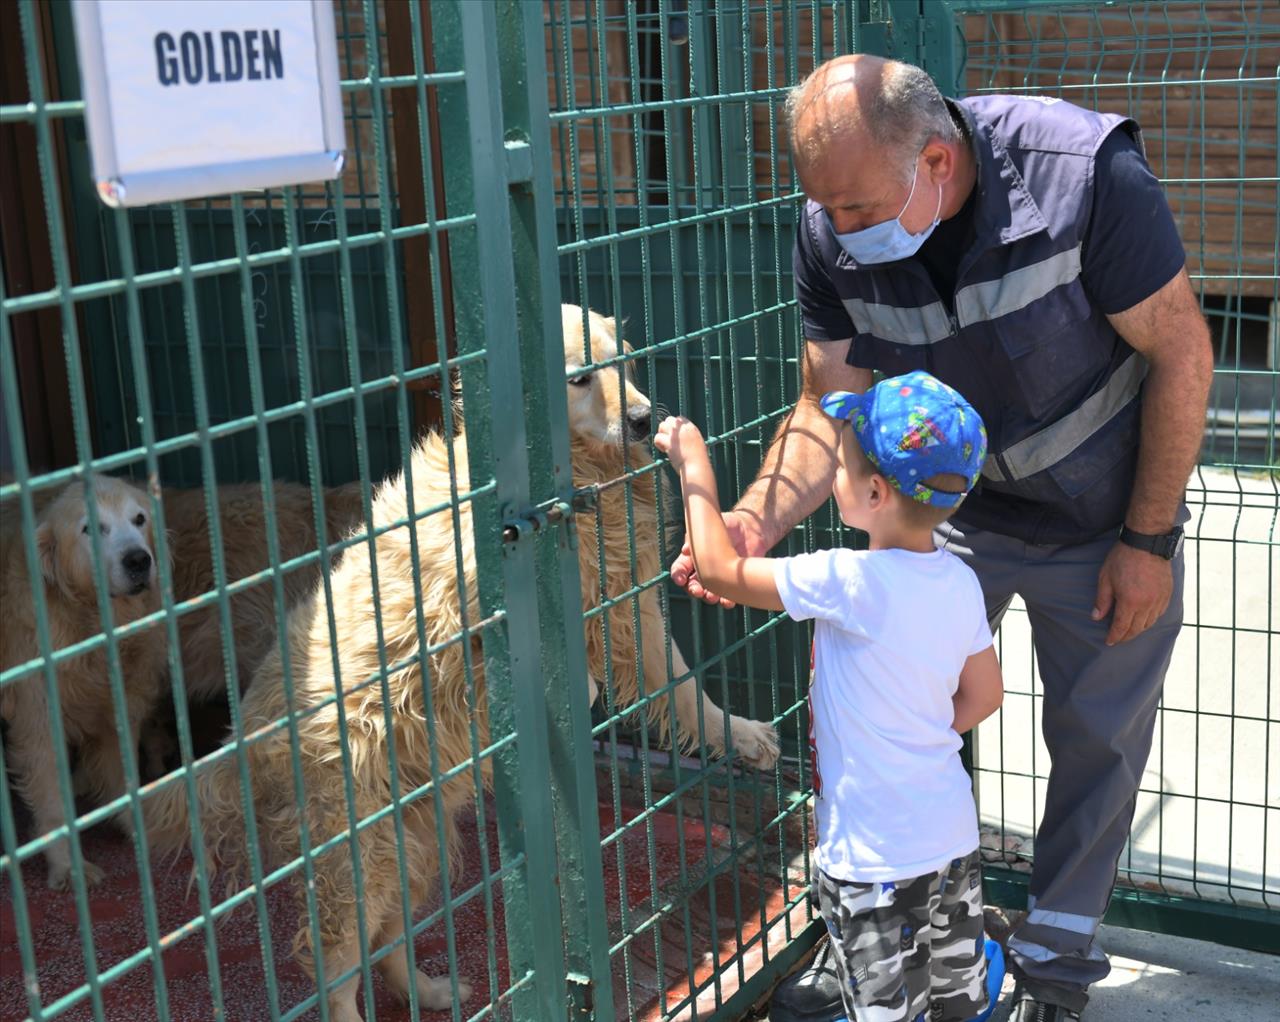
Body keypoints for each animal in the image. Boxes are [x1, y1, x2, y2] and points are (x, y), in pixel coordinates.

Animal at [0, 476, 167, 891]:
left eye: (139, 519)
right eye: (90, 528)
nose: (138, 560)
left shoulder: (117, 708)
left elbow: (121, 772)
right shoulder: (37, 722)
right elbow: (53, 802)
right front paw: (68, 868)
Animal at [144, 306, 773, 1022]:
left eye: (627, 360)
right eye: (580, 377)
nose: (644, 419)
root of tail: (247, 738)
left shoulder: (627, 606)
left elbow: (686, 687)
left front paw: (743, 736)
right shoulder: (466, 602)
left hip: (417, 845)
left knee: (389, 942)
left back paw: (433, 990)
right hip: (359, 862)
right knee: (334, 968)